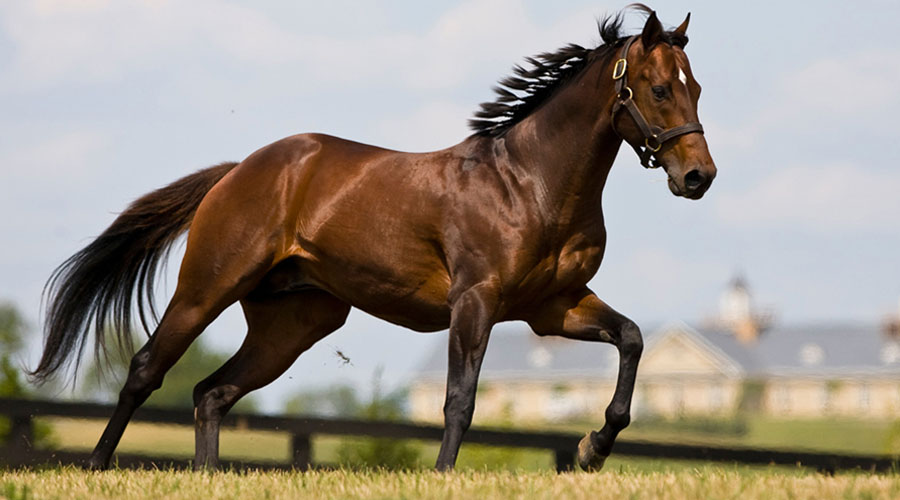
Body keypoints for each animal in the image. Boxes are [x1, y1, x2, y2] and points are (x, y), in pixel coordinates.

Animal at [29, 5, 716, 470]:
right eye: (660, 88)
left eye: (698, 87)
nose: (698, 177)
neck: (528, 183)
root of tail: (238, 171)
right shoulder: (476, 302)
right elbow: (459, 399)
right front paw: (444, 475)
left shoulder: (553, 307)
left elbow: (631, 339)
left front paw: (592, 448)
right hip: (207, 288)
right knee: (147, 370)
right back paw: (97, 467)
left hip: (295, 323)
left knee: (211, 392)